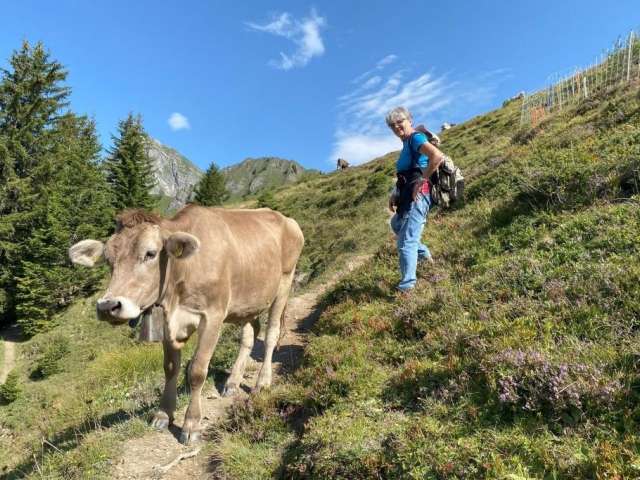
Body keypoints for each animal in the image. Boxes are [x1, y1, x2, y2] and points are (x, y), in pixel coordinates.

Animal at [68, 205, 304, 444]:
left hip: (284, 282)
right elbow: (171, 367)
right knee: (250, 333)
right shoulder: (169, 322)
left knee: (271, 333)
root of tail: (284, 217)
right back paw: (232, 382)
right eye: (108, 260)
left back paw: (262, 383)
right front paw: (164, 414)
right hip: (247, 301)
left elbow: (197, 371)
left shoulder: (213, 316)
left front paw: (191, 424)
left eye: (150, 253)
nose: (108, 306)